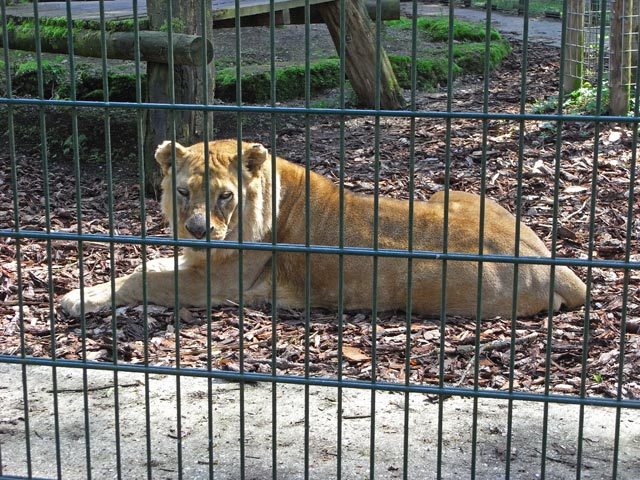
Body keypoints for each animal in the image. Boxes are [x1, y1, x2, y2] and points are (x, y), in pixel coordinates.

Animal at [61, 139, 586, 319]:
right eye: (185, 191)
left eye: (225, 196)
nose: (196, 230)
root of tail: (555, 265)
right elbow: (149, 263)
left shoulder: (219, 282)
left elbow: (143, 278)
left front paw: (79, 299)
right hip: (449, 194)